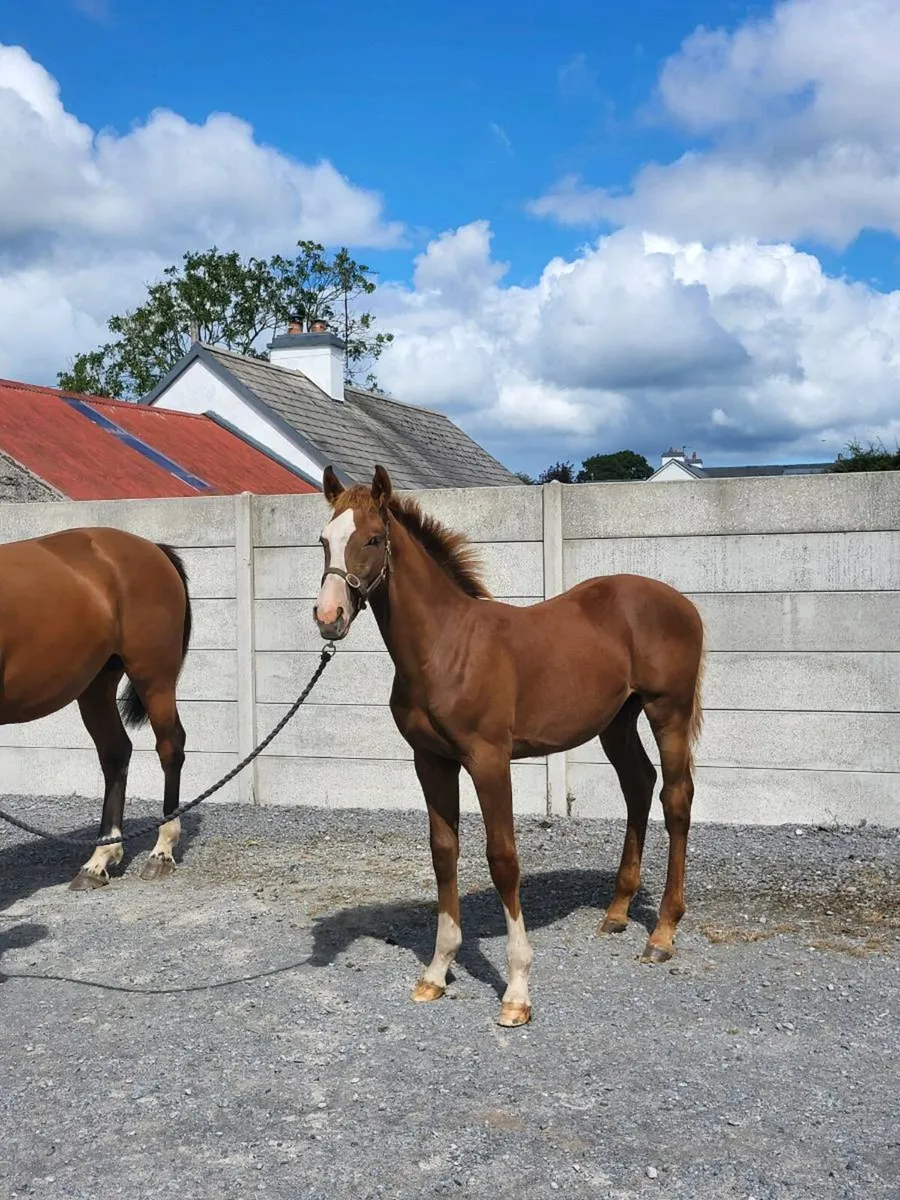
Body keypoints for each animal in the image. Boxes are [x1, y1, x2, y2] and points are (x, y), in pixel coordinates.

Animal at [0, 527, 192, 889]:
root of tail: (152, 548)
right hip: (96, 685)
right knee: (116, 752)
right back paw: (98, 860)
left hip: (154, 676)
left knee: (170, 747)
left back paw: (161, 852)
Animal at [314, 466, 705, 1028]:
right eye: (324, 540)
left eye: (371, 539)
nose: (329, 616)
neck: (445, 648)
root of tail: (683, 603)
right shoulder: (431, 762)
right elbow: (443, 852)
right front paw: (437, 971)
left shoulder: (488, 760)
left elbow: (502, 858)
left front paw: (517, 990)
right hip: (617, 720)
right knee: (639, 784)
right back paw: (616, 913)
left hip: (666, 710)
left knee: (675, 798)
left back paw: (662, 933)